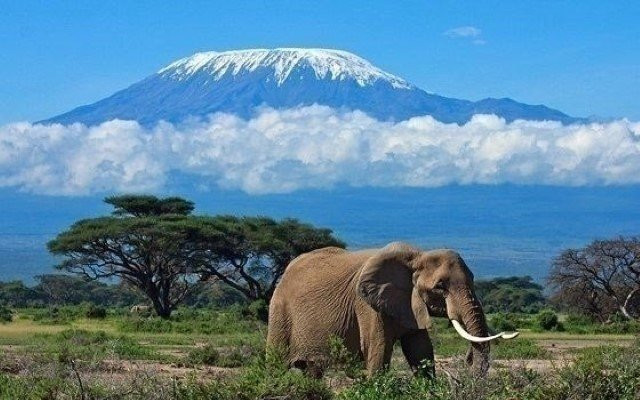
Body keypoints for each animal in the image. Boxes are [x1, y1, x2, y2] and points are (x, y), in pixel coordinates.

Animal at [268, 242, 516, 376]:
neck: (416, 257)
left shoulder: (410, 304)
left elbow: (421, 351)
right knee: (275, 364)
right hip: (279, 311)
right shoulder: (366, 305)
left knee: (312, 371)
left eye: (473, 279)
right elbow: (377, 354)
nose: (467, 359)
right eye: (440, 287)